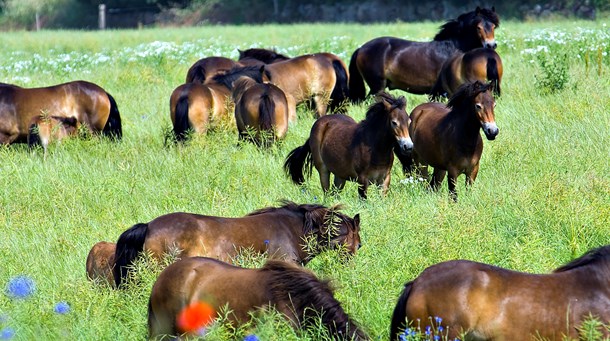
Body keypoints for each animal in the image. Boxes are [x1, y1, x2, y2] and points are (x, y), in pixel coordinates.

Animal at [284, 91, 414, 198]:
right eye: (394, 122)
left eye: (409, 121)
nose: (408, 146)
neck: (375, 150)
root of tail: (320, 122)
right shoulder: (362, 180)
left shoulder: (385, 179)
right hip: (323, 170)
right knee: (327, 193)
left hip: (340, 176)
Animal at [350, 6, 496, 101]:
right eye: (479, 27)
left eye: (493, 26)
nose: (491, 45)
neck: (453, 48)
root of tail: (361, 48)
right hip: (377, 86)